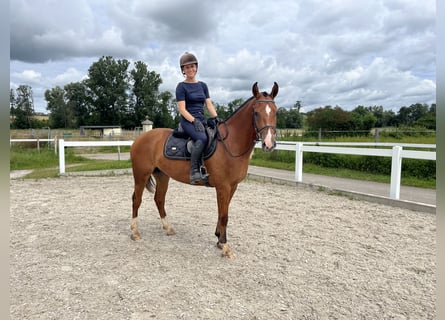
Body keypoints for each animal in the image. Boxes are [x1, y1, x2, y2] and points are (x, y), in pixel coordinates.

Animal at [128, 82, 280, 258]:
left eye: (275, 112)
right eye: (256, 113)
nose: (268, 144)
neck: (230, 144)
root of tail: (140, 138)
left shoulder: (232, 187)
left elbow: (222, 213)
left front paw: (219, 239)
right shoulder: (223, 187)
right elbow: (224, 215)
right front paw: (225, 245)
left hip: (162, 175)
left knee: (159, 199)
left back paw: (168, 228)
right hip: (141, 175)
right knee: (136, 200)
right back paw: (135, 232)